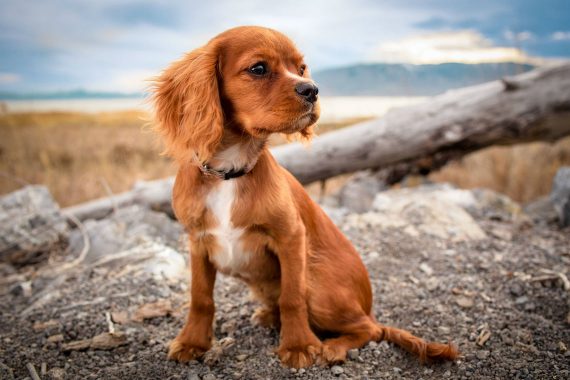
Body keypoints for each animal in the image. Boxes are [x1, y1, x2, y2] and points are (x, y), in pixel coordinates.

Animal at [152, 26, 458, 368]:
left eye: (300, 69)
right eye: (258, 68)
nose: (312, 90)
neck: (230, 171)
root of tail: (368, 306)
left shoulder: (291, 236)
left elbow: (292, 296)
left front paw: (298, 345)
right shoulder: (197, 241)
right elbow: (200, 297)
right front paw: (192, 342)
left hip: (319, 283)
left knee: (371, 329)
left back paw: (333, 347)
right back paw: (269, 317)